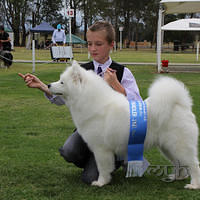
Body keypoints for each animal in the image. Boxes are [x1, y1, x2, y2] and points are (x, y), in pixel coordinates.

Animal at [48, 61, 200, 189]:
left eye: (62, 82)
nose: (48, 85)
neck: (91, 101)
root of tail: (180, 104)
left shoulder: (101, 149)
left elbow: (102, 168)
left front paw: (101, 182)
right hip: (167, 147)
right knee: (179, 163)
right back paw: (178, 177)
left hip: (179, 146)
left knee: (193, 164)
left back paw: (194, 185)